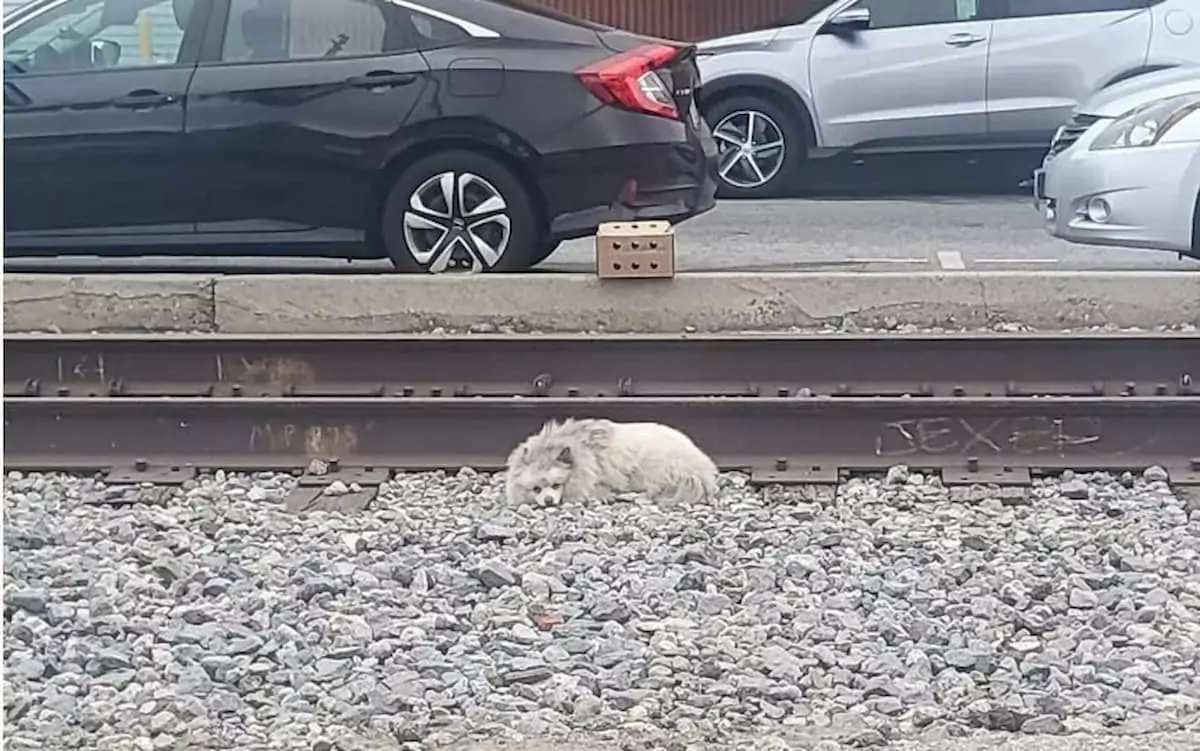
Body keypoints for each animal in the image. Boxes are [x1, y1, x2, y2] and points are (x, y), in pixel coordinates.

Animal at [501, 417, 715, 506]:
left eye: (556, 485)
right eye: (535, 489)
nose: (548, 501)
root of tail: (702, 469)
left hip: (654, 467)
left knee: (653, 491)